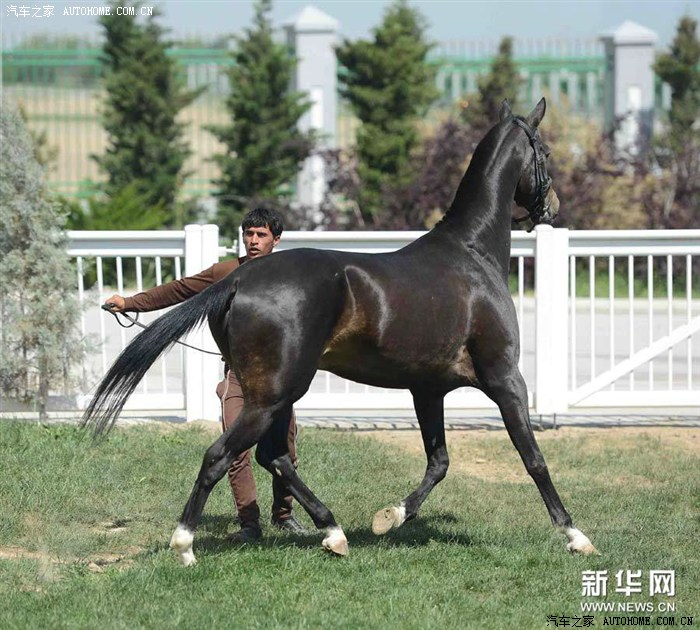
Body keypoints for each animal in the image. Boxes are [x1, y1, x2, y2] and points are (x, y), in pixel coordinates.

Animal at [83, 99, 598, 566]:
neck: (472, 254)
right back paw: (186, 545)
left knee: (274, 456)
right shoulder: (505, 378)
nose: (552, 207)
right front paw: (575, 535)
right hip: (274, 395)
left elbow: (439, 463)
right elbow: (533, 458)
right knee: (223, 456)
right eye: (546, 151)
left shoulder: (428, 389)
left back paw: (333, 532)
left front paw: (389, 517)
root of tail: (238, 279)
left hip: (279, 394)